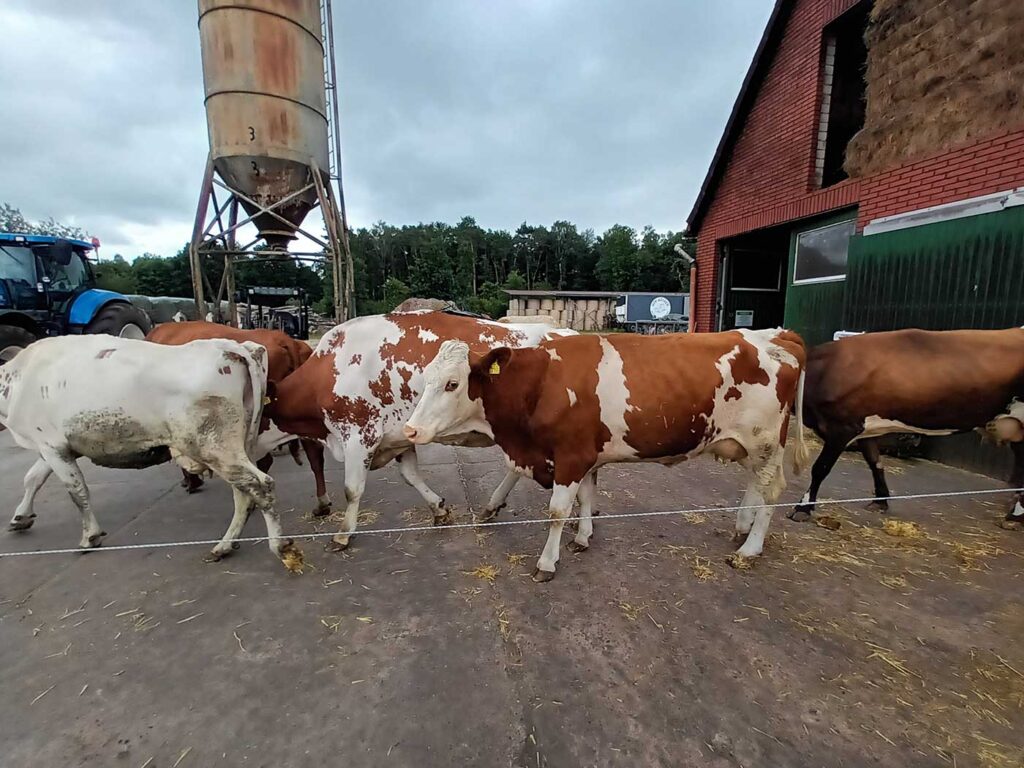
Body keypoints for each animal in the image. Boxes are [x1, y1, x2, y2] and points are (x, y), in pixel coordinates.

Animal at [260, 309, 573, 548]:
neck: (335, 367)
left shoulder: (359, 435)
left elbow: (352, 489)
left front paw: (343, 533)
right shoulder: (400, 436)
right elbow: (410, 476)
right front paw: (439, 509)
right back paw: (492, 506)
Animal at [403, 327, 811, 581]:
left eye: (452, 384)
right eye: (425, 380)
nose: (410, 429)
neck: (542, 383)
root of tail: (776, 336)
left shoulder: (569, 456)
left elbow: (557, 512)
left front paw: (547, 562)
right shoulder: (585, 454)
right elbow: (586, 497)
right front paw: (583, 537)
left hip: (765, 441)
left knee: (771, 491)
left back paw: (750, 548)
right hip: (752, 446)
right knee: (756, 485)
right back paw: (742, 528)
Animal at [790, 327, 1024, 528]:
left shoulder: (842, 427)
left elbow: (820, 468)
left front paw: (803, 508)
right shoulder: (863, 428)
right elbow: (876, 463)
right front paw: (880, 501)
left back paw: (1014, 516)